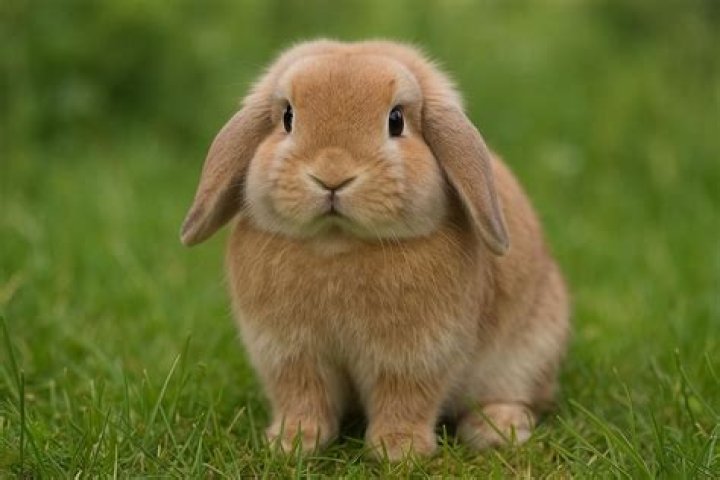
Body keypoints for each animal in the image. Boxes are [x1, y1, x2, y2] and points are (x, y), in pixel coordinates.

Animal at [179, 39, 569, 461]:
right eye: (287, 117)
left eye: (396, 120)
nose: (332, 175)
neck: (337, 243)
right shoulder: (290, 353)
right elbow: (303, 396)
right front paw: (292, 442)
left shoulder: (416, 355)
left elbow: (404, 399)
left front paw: (398, 450)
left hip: (526, 354)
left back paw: (496, 431)